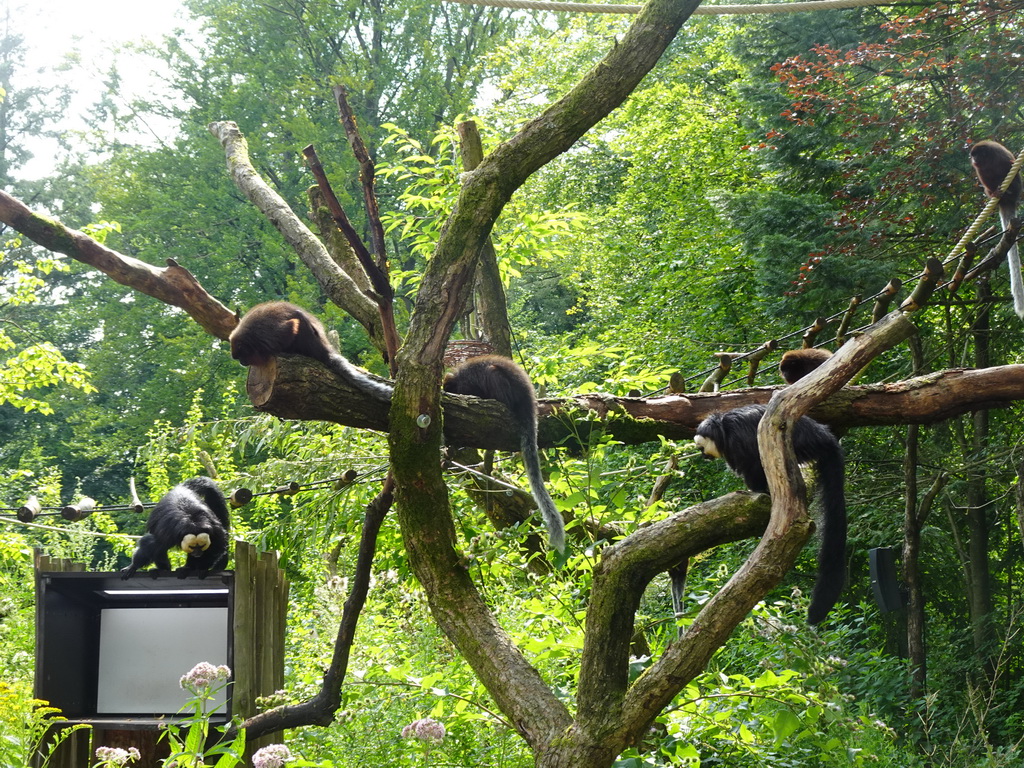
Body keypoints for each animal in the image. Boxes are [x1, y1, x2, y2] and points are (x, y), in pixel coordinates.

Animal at [228, 301, 391, 397]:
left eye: (241, 355)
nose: (241, 362)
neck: (252, 339)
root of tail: (323, 348)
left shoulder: (266, 334)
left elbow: (292, 324)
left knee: (300, 319)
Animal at [696, 405, 847, 622]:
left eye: (701, 448)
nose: (702, 456)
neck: (722, 430)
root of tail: (823, 436)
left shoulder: (738, 440)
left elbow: (753, 461)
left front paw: (758, 489)